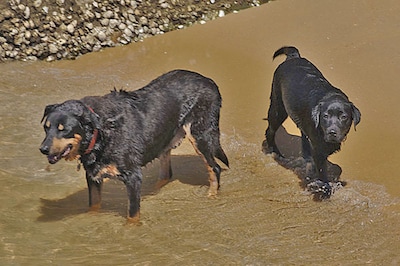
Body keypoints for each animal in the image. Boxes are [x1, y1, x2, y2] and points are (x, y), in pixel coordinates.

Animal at [40, 69, 230, 222]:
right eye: (46, 127)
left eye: (64, 130)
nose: (43, 149)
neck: (100, 134)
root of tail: (208, 80)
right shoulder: (93, 177)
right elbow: (93, 207)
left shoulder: (132, 176)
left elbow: (132, 215)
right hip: (164, 140)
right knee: (167, 174)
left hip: (199, 135)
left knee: (215, 168)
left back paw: (211, 196)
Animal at [264, 46, 360, 198]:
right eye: (325, 116)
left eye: (343, 117)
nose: (332, 132)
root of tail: (293, 57)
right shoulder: (319, 150)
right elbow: (322, 173)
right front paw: (325, 190)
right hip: (278, 108)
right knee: (270, 131)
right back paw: (276, 154)